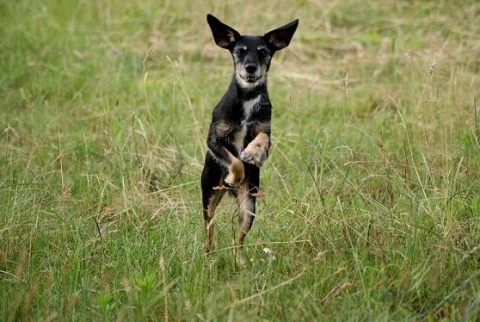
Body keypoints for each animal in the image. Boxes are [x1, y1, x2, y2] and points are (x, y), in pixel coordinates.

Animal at [201, 14, 298, 262]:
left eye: (263, 52)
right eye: (240, 51)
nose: (251, 68)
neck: (248, 97)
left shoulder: (266, 130)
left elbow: (262, 138)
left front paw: (254, 153)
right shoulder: (214, 139)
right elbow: (234, 161)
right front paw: (235, 175)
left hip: (249, 206)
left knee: (239, 239)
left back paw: (240, 262)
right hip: (209, 194)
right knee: (209, 226)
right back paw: (210, 254)